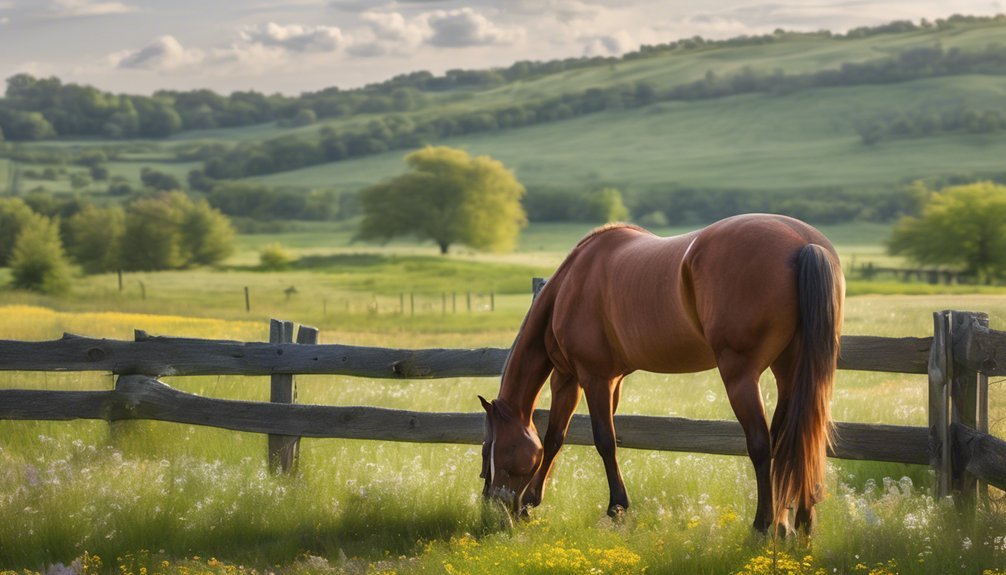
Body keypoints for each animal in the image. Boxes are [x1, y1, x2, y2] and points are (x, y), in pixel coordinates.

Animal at [476, 215, 841, 534]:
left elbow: (601, 440)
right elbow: (556, 437)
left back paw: (763, 523)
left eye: (489, 449)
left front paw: (615, 507)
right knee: (798, 440)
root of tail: (803, 244)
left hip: (741, 375)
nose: (493, 506)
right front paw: (532, 503)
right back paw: (797, 523)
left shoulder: (585, 378)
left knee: (763, 445)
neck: (569, 285)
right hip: (791, 373)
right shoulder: (603, 380)